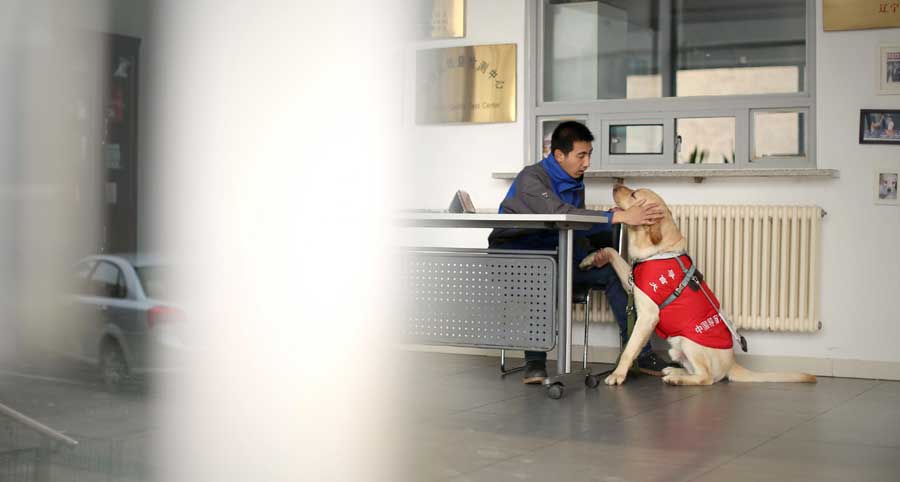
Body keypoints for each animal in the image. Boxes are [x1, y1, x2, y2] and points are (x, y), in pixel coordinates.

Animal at [592, 186, 816, 386]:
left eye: (634, 194)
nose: (615, 185)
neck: (658, 251)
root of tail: (732, 363)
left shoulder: (648, 316)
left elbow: (629, 349)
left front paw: (617, 375)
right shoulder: (632, 283)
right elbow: (612, 251)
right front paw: (592, 257)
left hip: (688, 342)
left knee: (706, 378)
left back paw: (677, 379)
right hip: (676, 347)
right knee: (695, 371)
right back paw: (674, 370)